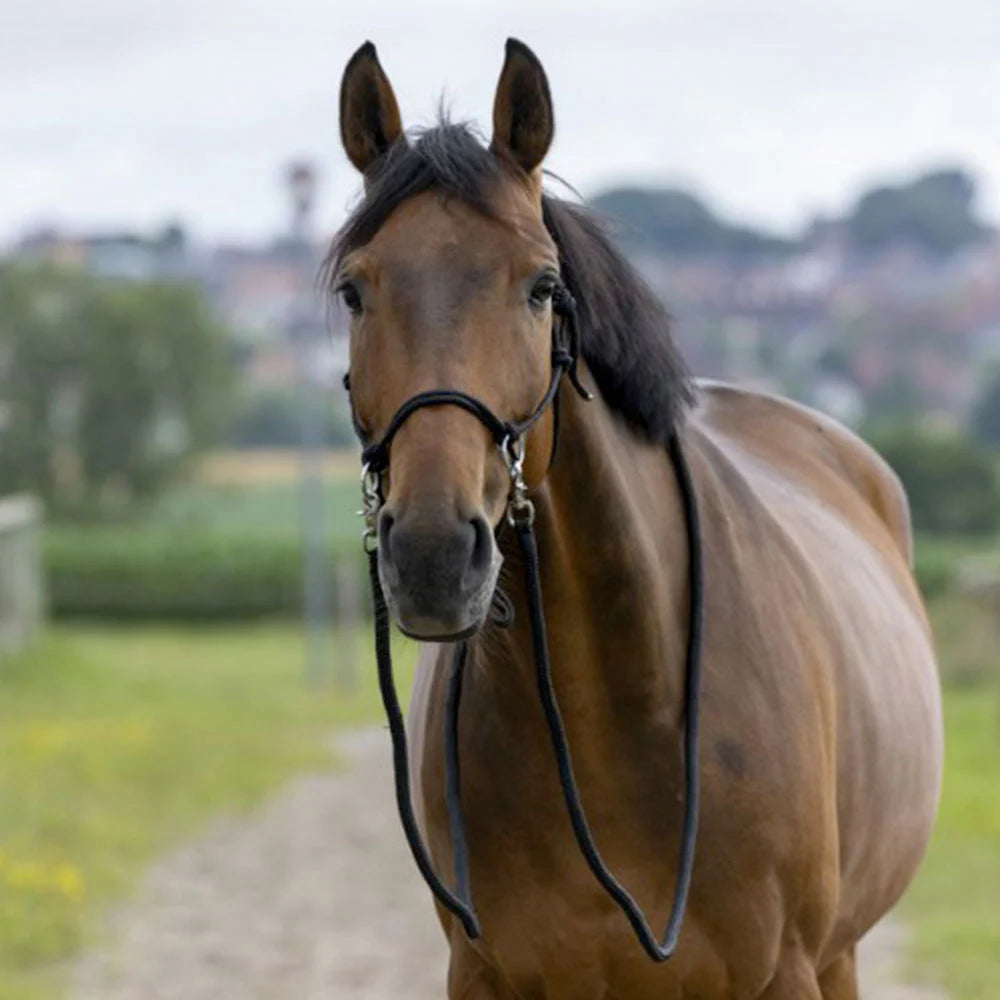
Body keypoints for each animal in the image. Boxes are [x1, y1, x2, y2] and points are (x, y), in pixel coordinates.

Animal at [330, 35, 944, 996]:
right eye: (355, 292)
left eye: (542, 286)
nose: (432, 555)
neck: (614, 717)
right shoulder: (483, 974)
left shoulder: (787, 971)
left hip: (839, 951)